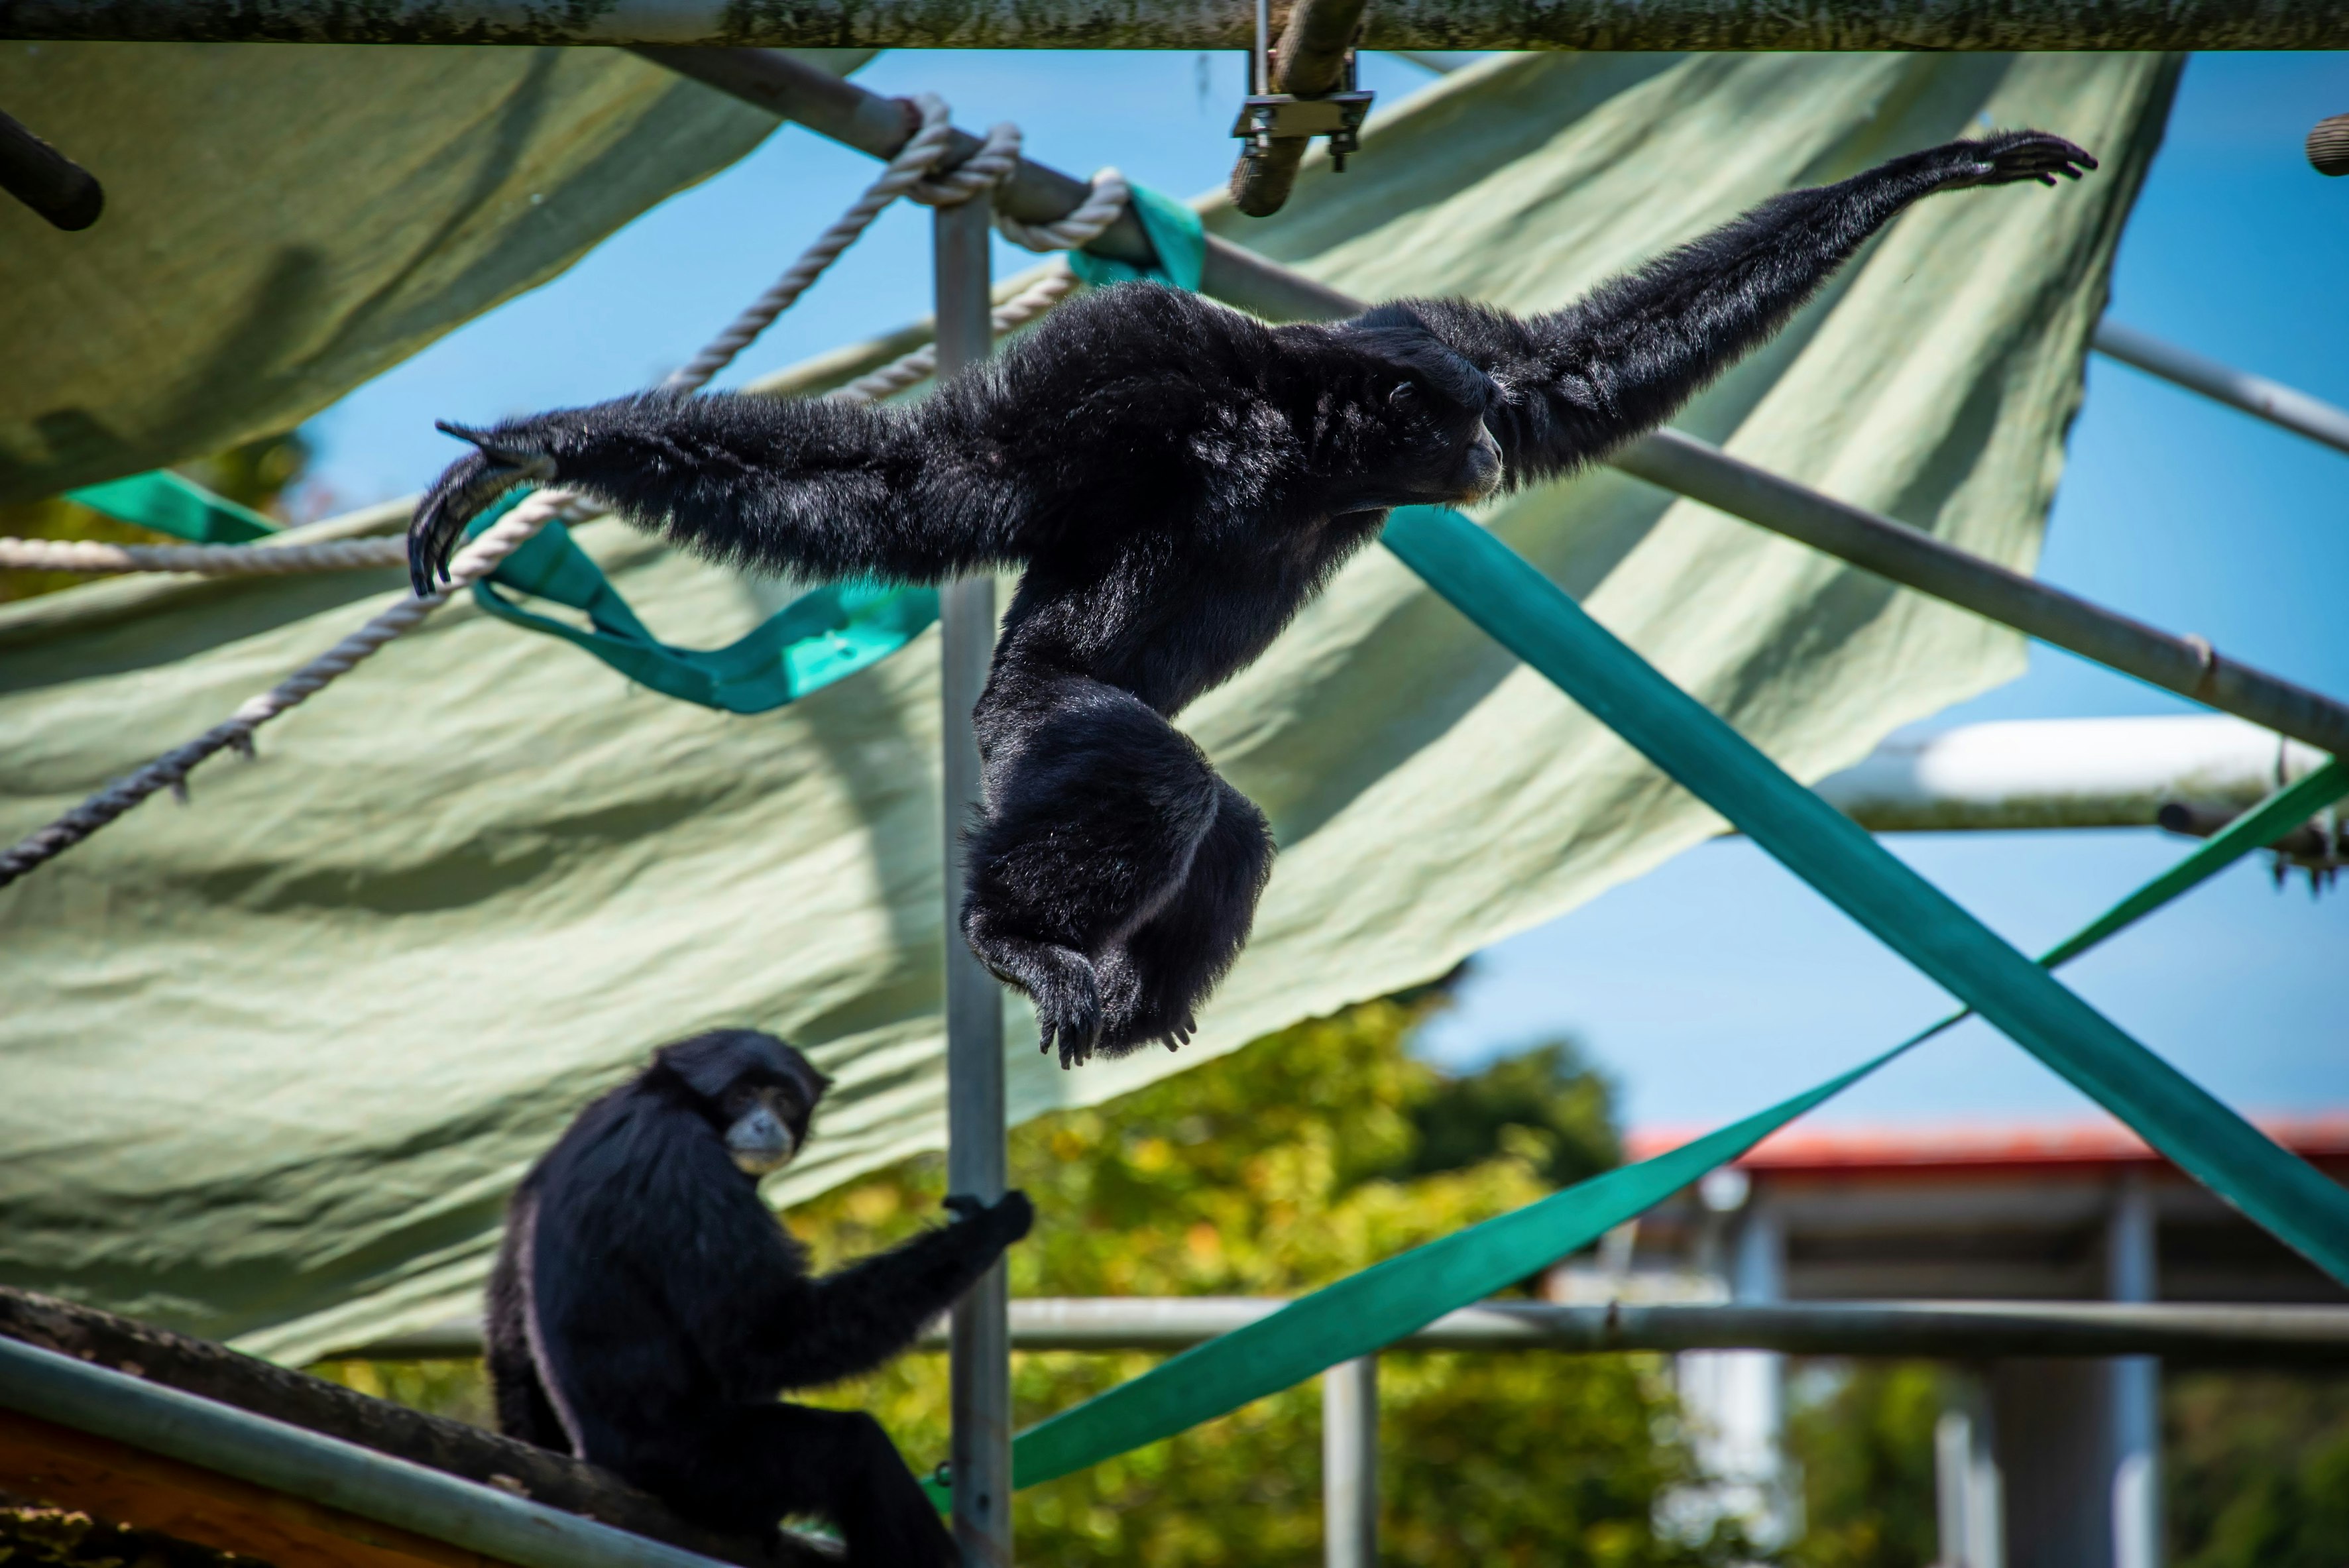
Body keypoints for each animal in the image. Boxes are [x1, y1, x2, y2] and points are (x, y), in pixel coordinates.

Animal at [410, 131, 2096, 1070]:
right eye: (1442, 422)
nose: (1475, 447)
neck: (1284, 431)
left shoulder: (1421, 337)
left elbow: (1569, 375)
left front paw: (1939, 170)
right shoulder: (1136, 361)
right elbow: (931, 477)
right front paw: (537, 454)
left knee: (1228, 825)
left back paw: (1131, 993)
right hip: (1035, 717)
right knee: (1155, 775)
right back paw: (1013, 937)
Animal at [487, 1028, 1032, 1566]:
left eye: (783, 1100)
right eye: (742, 1097)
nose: (765, 1123)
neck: (660, 1098)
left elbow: (509, 1328)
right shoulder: (684, 1159)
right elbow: (765, 1337)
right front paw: (991, 1227)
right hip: (698, 1467)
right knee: (854, 1453)